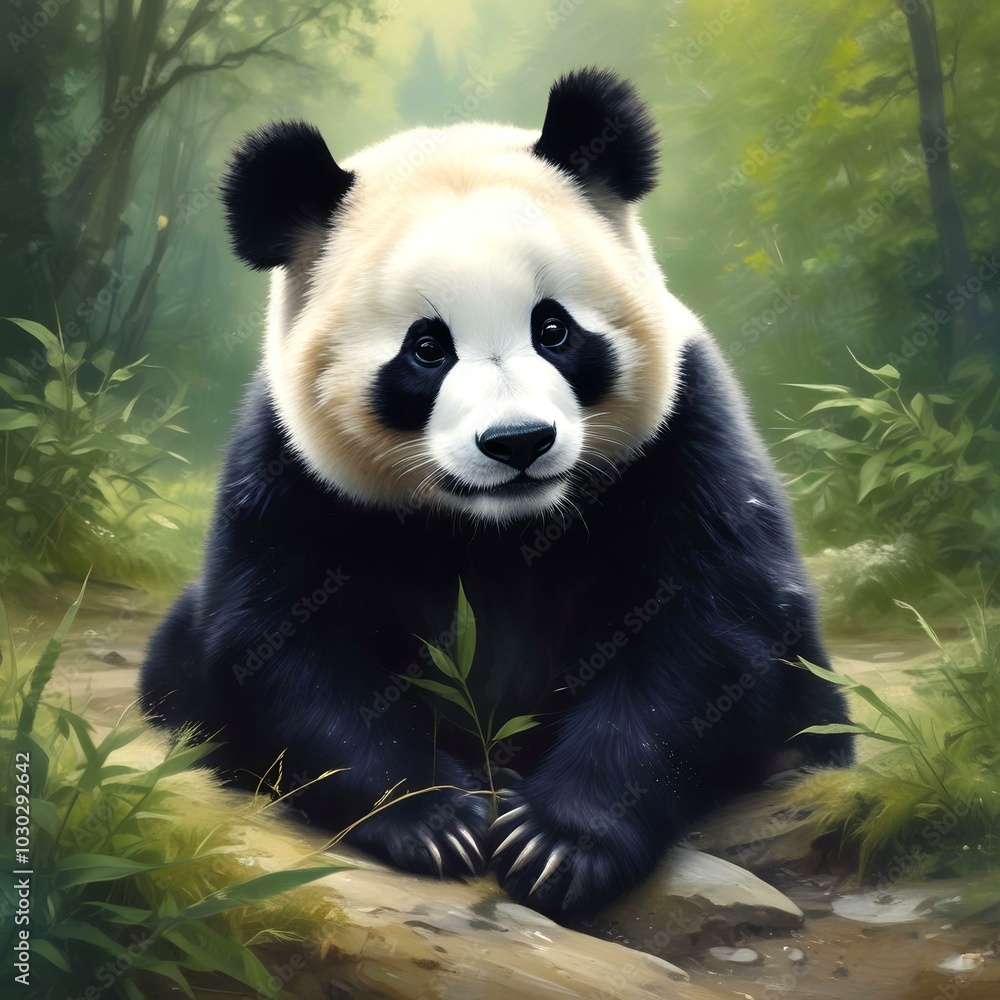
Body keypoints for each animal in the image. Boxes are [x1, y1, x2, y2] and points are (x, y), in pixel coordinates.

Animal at [140, 68, 853, 919]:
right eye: (426, 347)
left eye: (554, 329)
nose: (518, 443)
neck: (503, 528)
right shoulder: (290, 475)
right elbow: (285, 648)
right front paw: (437, 820)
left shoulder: (683, 438)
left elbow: (705, 634)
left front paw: (552, 844)